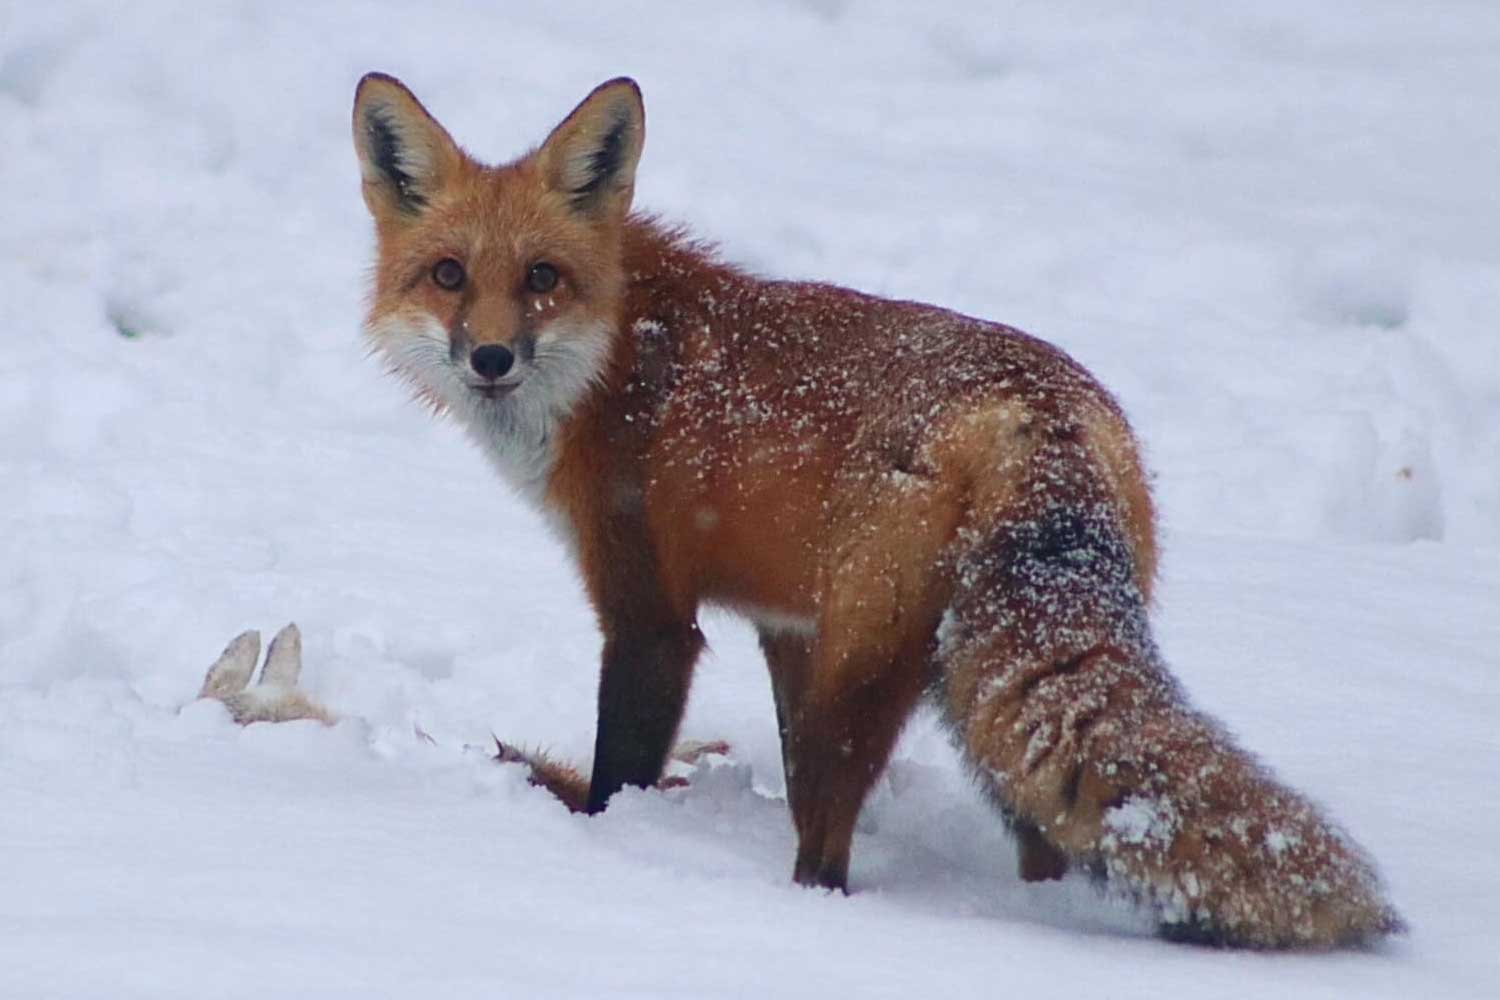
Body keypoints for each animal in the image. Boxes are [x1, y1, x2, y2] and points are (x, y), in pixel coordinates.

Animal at [351, 74, 1404, 953]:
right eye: (448, 275)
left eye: (541, 277)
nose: (491, 359)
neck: (618, 358)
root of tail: (1037, 412)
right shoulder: (787, 626)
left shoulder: (652, 614)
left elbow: (619, 777)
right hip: (973, 686)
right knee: (1042, 834)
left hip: (869, 678)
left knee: (826, 858)